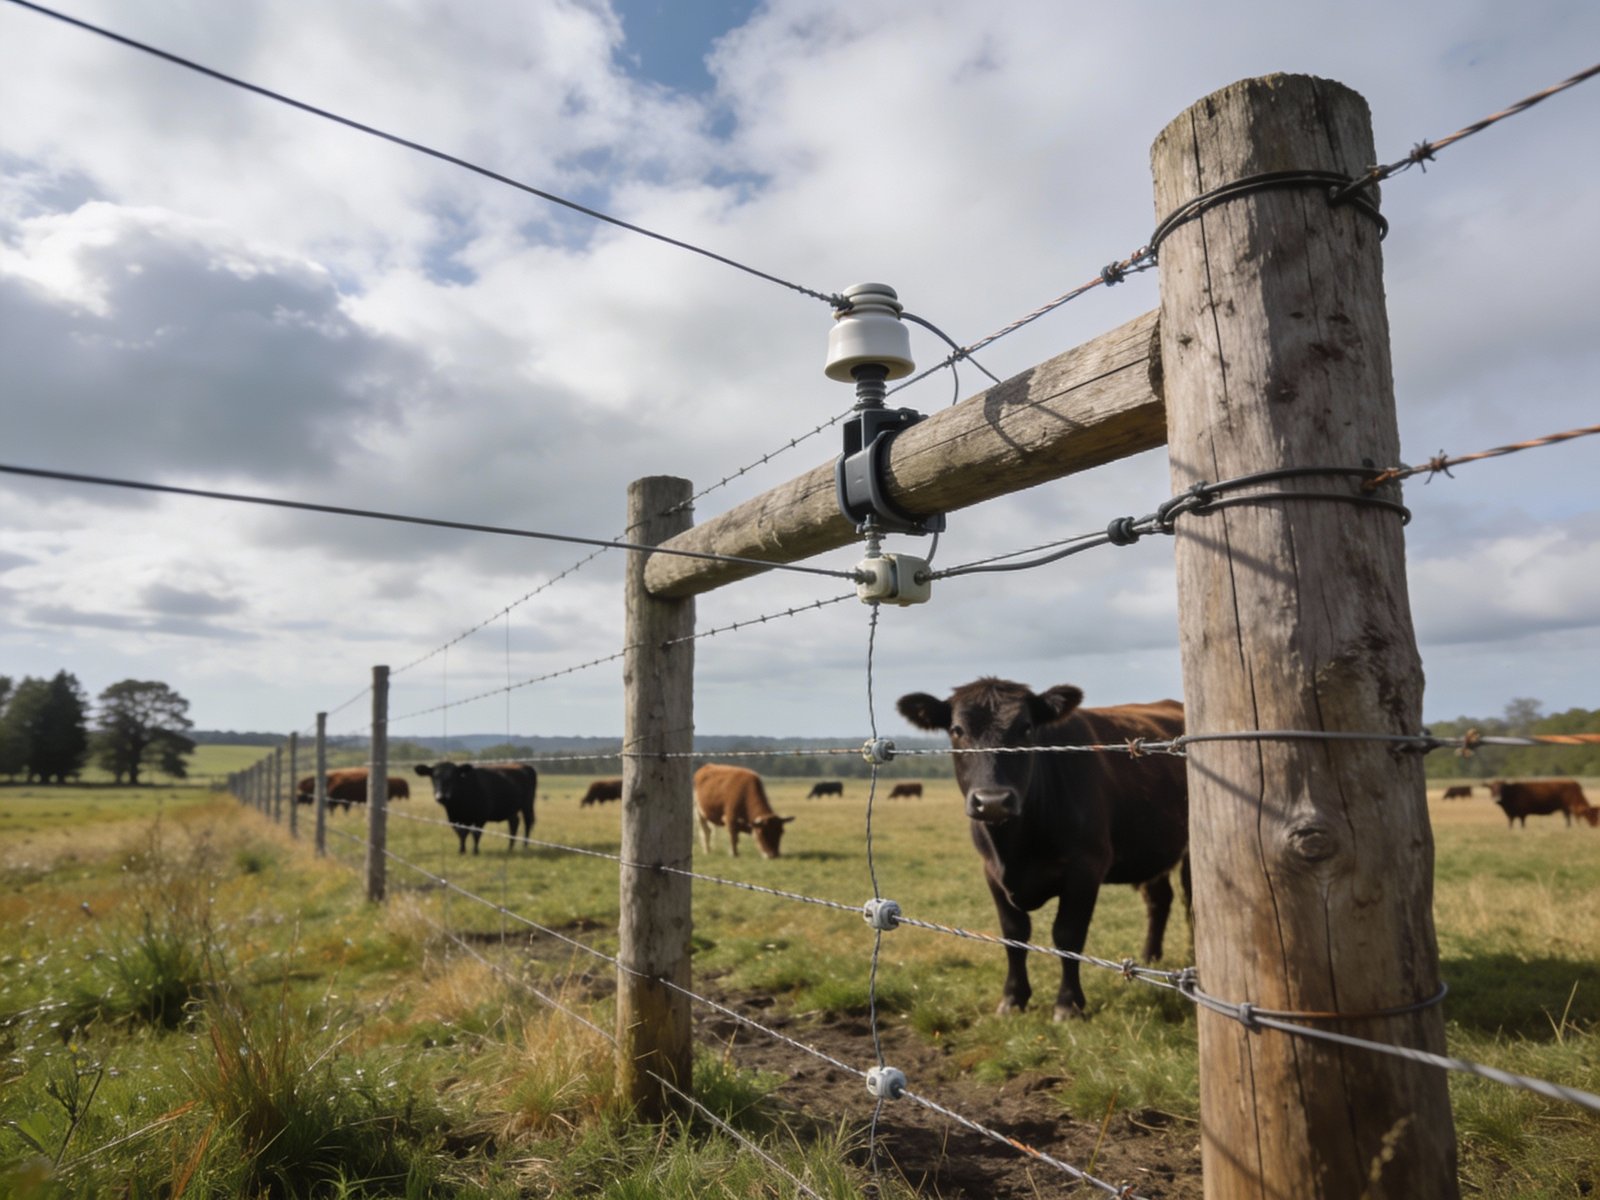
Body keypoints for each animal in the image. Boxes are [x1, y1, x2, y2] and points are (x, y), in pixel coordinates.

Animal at [898, 678, 1188, 1021]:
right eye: (957, 729)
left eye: (1026, 727)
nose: (993, 801)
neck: (1014, 847)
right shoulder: (991, 871)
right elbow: (1014, 934)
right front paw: (1013, 998)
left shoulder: (1086, 867)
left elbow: (1068, 935)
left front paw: (1068, 1004)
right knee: (1158, 900)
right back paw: (1150, 957)